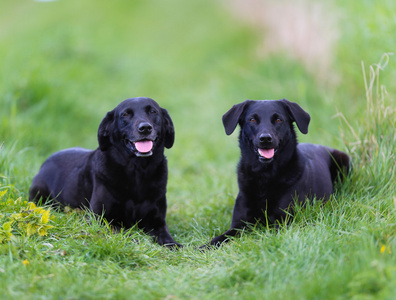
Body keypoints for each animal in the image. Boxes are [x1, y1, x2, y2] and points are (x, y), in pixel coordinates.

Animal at [30, 97, 182, 247]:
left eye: (153, 111)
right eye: (125, 114)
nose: (145, 128)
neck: (137, 171)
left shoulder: (156, 220)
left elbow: (164, 234)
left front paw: (173, 244)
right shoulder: (99, 218)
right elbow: (123, 232)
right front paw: (136, 241)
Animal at [207, 98, 350, 246]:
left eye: (278, 120)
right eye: (252, 119)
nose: (265, 138)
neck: (264, 175)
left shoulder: (283, 221)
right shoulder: (238, 225)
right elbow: (218, 239)